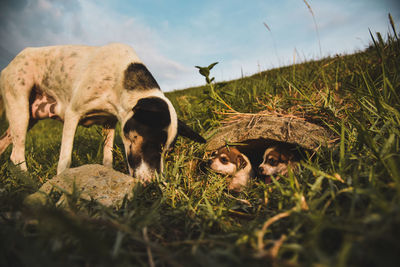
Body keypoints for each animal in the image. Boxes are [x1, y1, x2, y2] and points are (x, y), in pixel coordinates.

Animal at [0, 43, 205, 182]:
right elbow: (65, 160)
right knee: (16, 156)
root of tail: (7, 67)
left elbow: (108, 158)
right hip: (20, 109)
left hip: (27, 118)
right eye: (152, 145)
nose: (154, 184)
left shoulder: (110, 123)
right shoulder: (73, 114)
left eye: (167, 151)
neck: (119, 79)